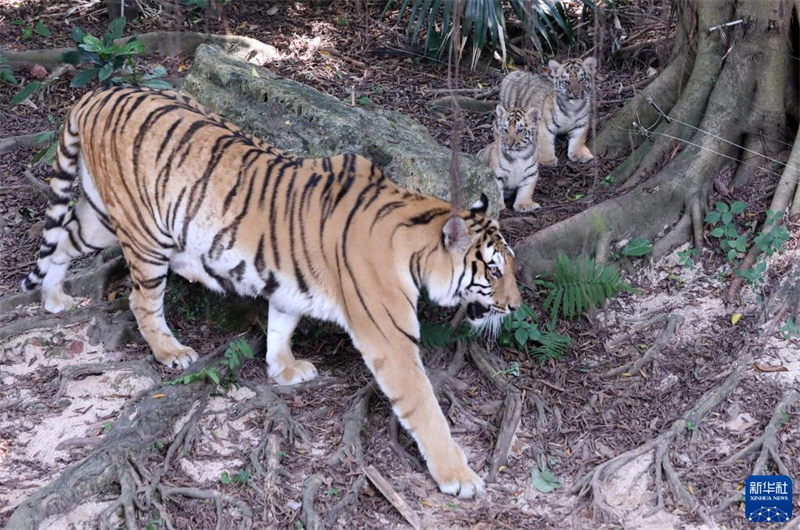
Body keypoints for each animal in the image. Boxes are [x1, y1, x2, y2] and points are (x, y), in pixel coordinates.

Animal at [21, 85, 520, 496]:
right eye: (494, 270)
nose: (516, 306)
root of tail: (100, 94)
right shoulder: (390, 339)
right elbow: (424, 407)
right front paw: (459, 476)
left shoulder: (288, 281)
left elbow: (282, 324)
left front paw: (283, 369)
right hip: (144, 233)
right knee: (141, 300)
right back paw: (170, 351)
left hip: (103, 219)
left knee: (63, 241)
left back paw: (55, 298)